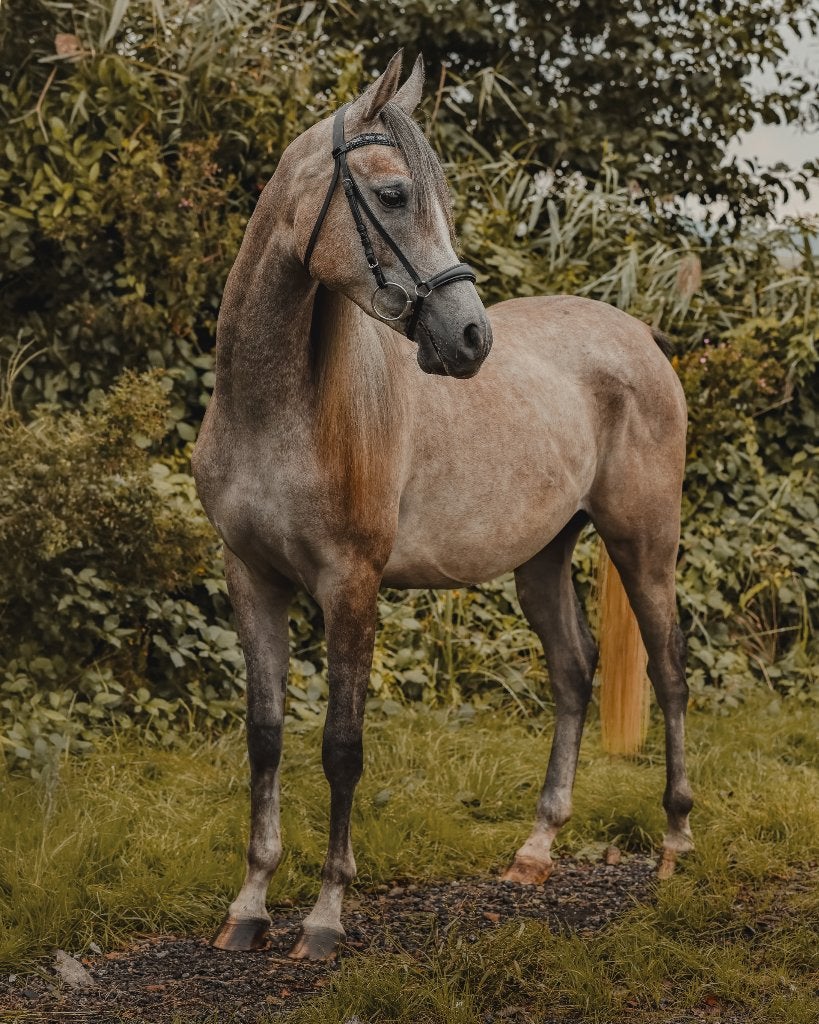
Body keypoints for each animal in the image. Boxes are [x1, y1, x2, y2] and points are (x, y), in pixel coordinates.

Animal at [192, 51, 694, 962]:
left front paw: (324, 917)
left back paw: (675, 842)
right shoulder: (251, 579)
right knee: (572, 672)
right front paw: (249, 906)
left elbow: (341, 747)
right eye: (393, 196)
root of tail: (639, 334)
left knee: (668, 670)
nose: (468, 338)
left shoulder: (350, 586)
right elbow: (265, 737)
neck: (278, 409)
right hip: (541, 558)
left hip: (643, 543)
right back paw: (535, 851)